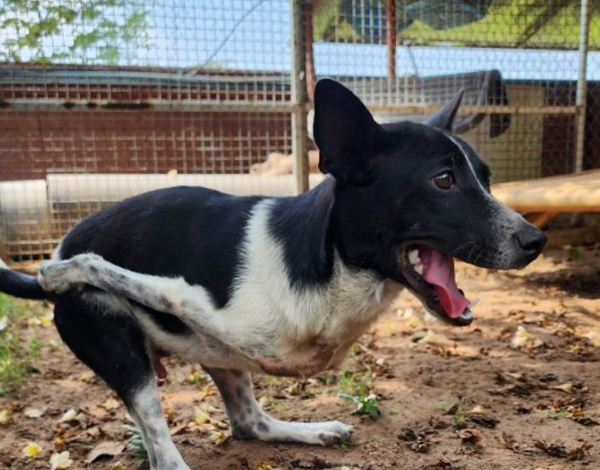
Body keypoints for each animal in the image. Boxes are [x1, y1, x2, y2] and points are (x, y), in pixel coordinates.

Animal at [0, 80, 548, 470]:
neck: (333, 268)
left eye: (486, 178)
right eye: (443, 180)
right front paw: (72, 269)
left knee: (249, 423)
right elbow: (124, 277)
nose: (535, 240)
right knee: (162, 451)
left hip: (222, 361)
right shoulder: (189, 299)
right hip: (125, 353)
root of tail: (65, 235)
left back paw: (311, 431)